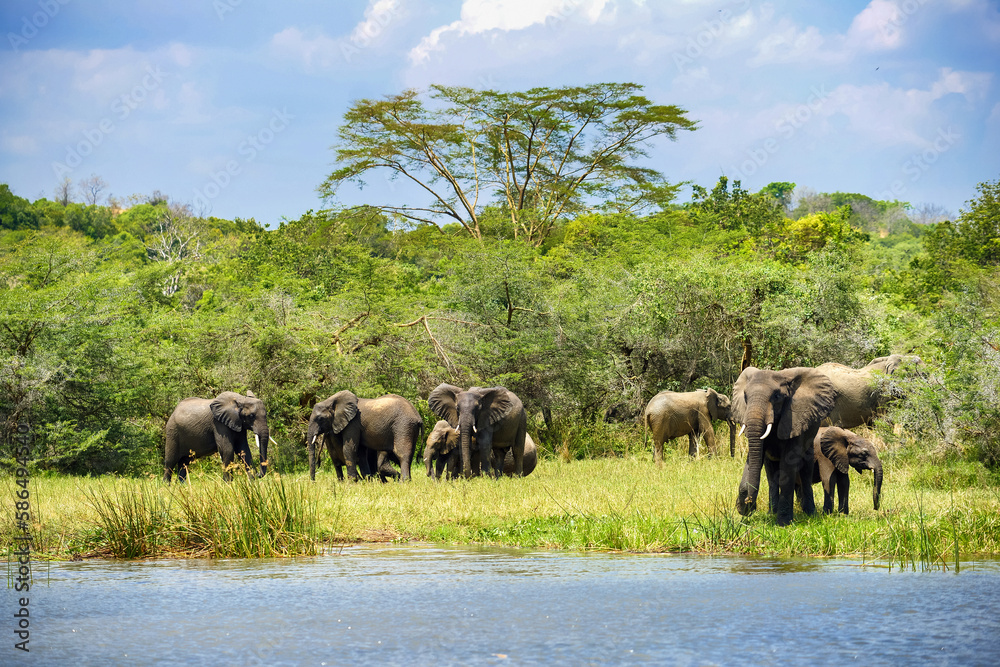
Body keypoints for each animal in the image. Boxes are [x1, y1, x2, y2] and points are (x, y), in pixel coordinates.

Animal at [731, 366, 836, 526]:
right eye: (745, 396)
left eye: (776, 396)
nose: (749, 503)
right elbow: (755, 458)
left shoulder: (794, 420)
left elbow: (787, 467)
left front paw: (783, 523)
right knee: (771, 476)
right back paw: (772, 513)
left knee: (806, 471)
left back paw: (810, 513)